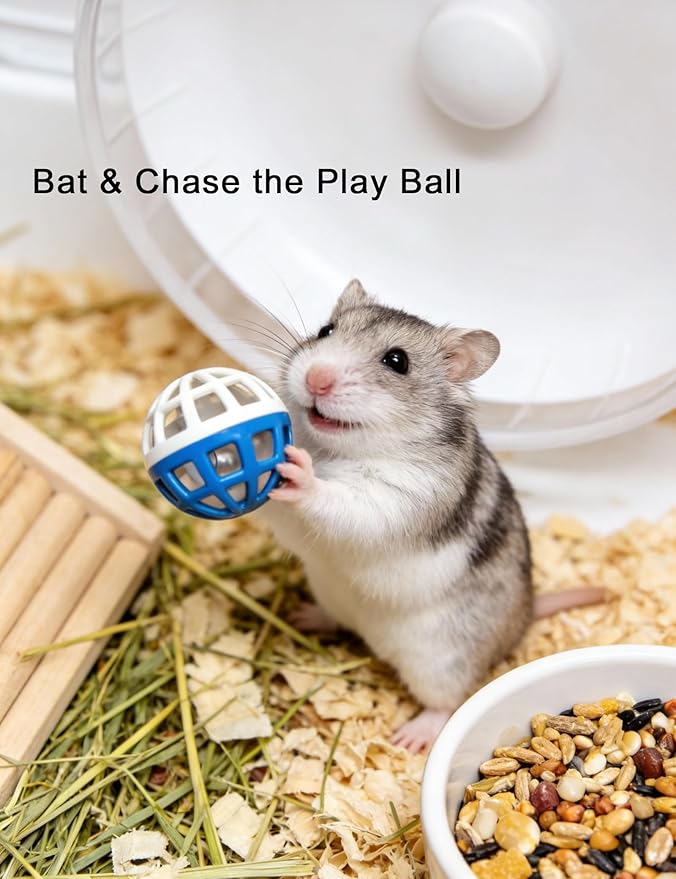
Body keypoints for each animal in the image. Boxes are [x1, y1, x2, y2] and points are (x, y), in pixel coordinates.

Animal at [256, 279, 603, 753]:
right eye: (326, 331)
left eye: (397, 361)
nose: (316, 379)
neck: (335, 450)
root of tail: (527, 614)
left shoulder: (397, 501)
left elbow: (342, 502)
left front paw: (301, 473)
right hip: (332, 595)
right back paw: (301, 616)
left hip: (440, 662)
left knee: (443, 703)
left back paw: (409, 738)